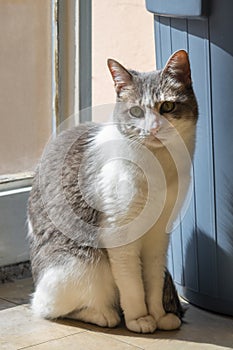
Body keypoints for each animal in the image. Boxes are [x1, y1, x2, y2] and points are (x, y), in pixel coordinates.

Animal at [28, 50, 198, 334]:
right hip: (82, 264)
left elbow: (152, 279)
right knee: (47, 307)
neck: (159, 166)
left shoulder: (158, 235)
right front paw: (139, 318)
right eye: (136, 111)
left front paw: (157, 314)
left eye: (167, 107)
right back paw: (103, 314)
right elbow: (132, 283)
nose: (153, 128)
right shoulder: (119, 231)